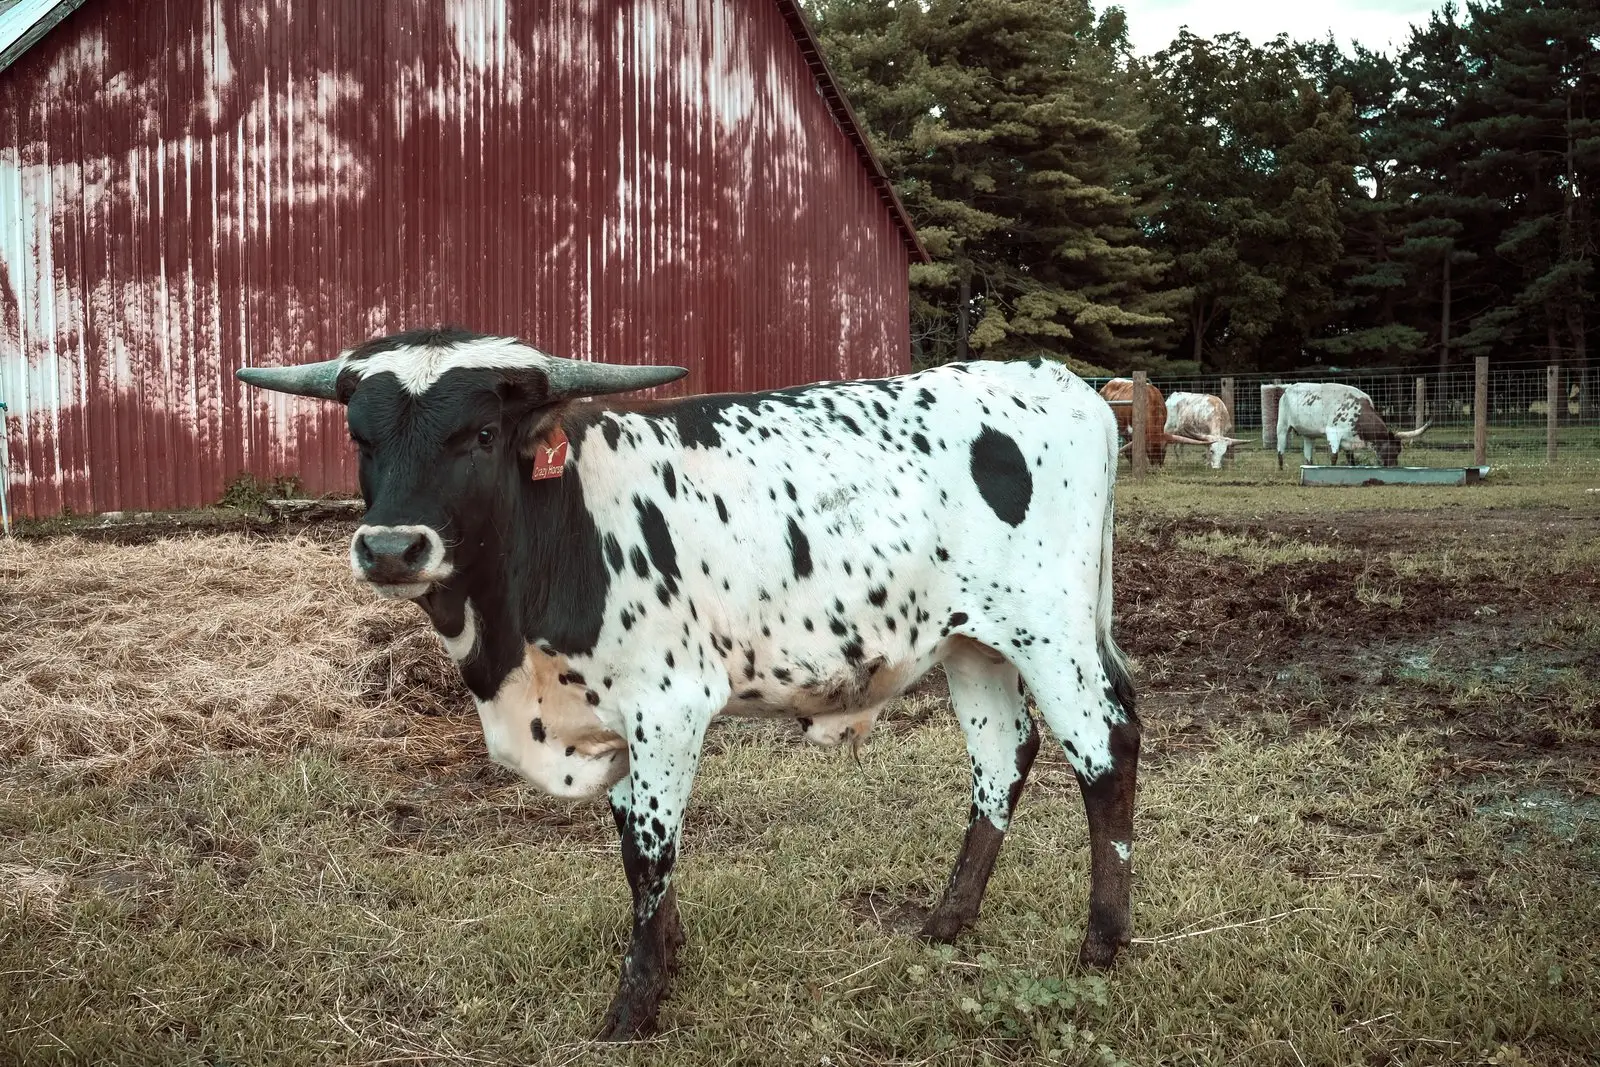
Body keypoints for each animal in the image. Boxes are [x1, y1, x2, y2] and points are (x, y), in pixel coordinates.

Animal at [237, 328, 1140, 1039]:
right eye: (361, 436)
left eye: (483, 432)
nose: (392, 548)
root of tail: (1055, 380)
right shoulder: (611, 716)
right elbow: (631, 843)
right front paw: (669, 954)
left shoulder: (668, 708)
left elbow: (651, 850)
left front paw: (634, 1005)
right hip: (972, 643)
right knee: (1002, 756)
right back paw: (948, 921)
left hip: (1052, 631)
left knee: (1106, 751)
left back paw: (1101, 945)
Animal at [1274, 382, 1429, 469]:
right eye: (1394, 450)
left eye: (1399, 450)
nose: (1394, 467)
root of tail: (1288, 389)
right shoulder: (1333, 434)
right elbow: (1334, 456)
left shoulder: (1348, 441)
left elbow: (1351, 460)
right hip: (1282, 426)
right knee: (1280, 450)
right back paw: (1281, 469)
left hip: (1308, 434)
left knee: (1308, 455)